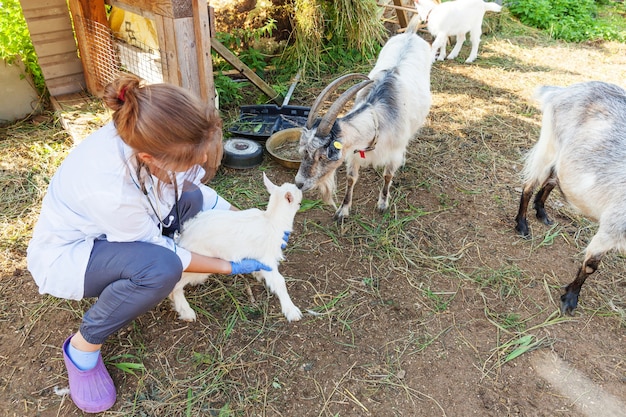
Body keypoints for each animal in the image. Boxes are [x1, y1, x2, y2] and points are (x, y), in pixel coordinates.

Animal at [294, 16, 432, 223]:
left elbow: (388, 176)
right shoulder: (354, 153)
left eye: (322, 156)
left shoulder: (393, 152)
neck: (376, 120)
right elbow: (351, 178)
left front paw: (382, 204)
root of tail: (410, 33)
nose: (299, 183)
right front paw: (343, 211)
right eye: (303, 151)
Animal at [512, 81, 624, 314]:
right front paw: (570, 298)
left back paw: (541, 211)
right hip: (549, 144)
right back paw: (522, 224)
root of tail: (563, 90)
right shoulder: (613, 227)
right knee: (530, 184)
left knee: (553, 177)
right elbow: (591, 265)